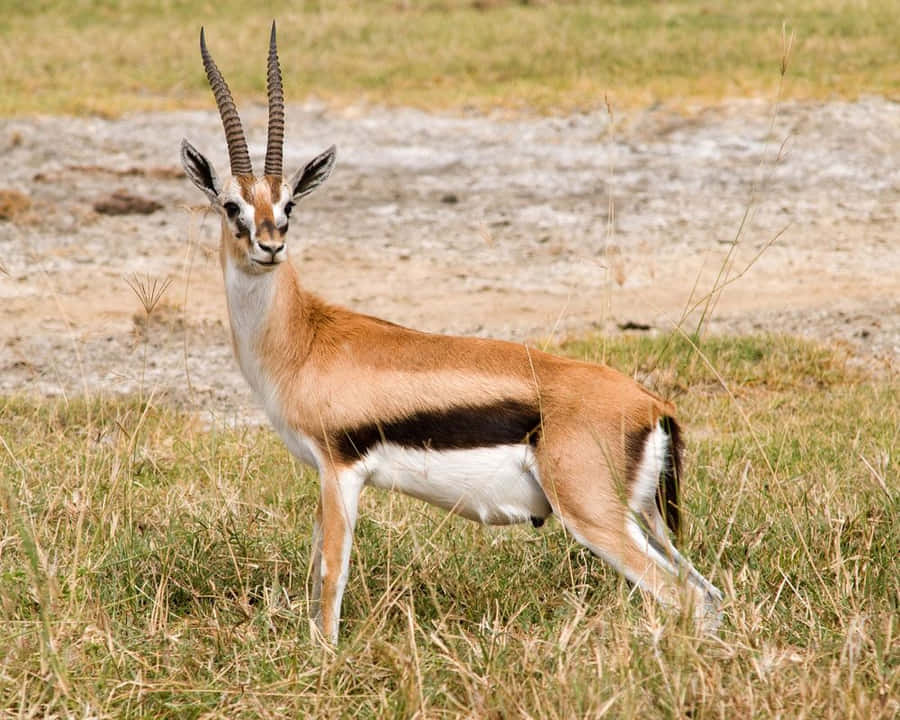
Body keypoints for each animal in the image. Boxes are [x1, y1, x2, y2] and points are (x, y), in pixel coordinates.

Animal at [180, 23, 723, 644]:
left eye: (289, 203)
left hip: (595, 518)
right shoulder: (322, 475)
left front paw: (325, 654)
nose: (270, 246)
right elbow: (316, 564)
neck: (304, 339)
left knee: (683, 597)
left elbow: (331, 576)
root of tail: (652, 404)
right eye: (232, 206)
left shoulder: (340, 472)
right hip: (646, 518)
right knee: (710, 594)